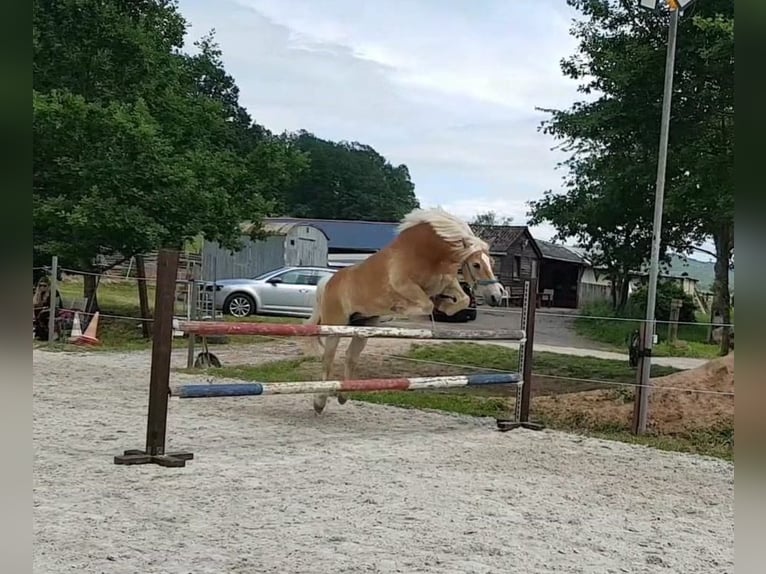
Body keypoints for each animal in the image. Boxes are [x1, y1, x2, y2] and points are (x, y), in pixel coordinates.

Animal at [304, 207, 508, 414]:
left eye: (491, 262)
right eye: (476, 264)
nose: (496, 296)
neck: (428, 254)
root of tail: (328, 282)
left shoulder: (445, 283)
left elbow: (462, 299)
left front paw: (444, 306)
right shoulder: (405, 286)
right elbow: (425, 305)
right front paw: (402, 308)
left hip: (363, 326)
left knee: (350, 357)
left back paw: (343, 395)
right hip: (335, 326)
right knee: (328, 359)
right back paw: (319, 402)